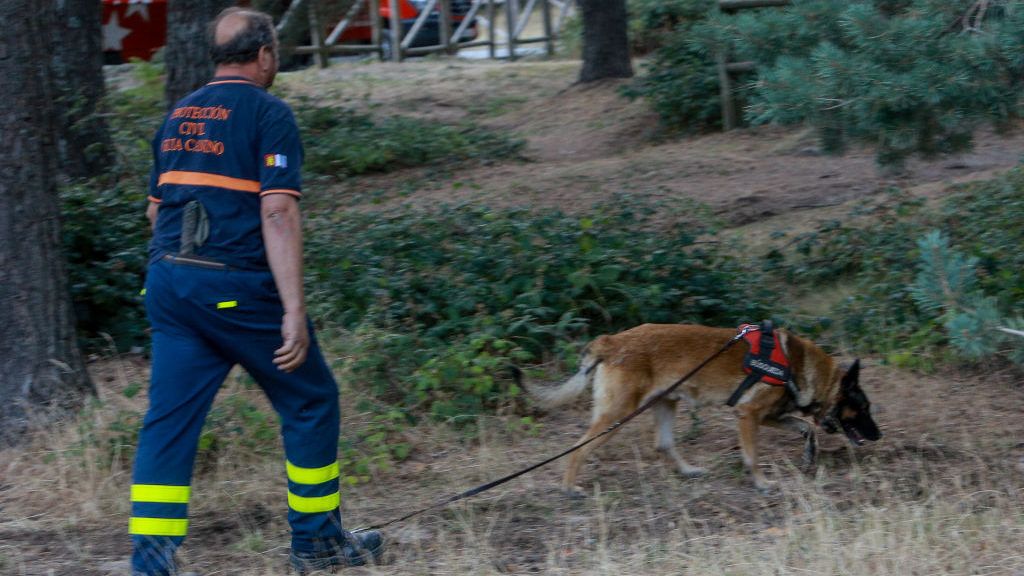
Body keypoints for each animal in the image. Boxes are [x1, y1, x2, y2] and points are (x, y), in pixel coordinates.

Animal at [516, 319, 884, 491]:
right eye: (864, 408)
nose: (878, 436)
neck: (797, 365)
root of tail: (611, 341)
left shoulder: (767, 416)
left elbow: (806, 427)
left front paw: (809, 455)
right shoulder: (748, 415)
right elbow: (753, 456)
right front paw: (762, 483)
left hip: (665, 404)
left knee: (663, 445)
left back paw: (689, 471)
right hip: (617, 414)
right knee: (579, 447)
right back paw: (569, 487)